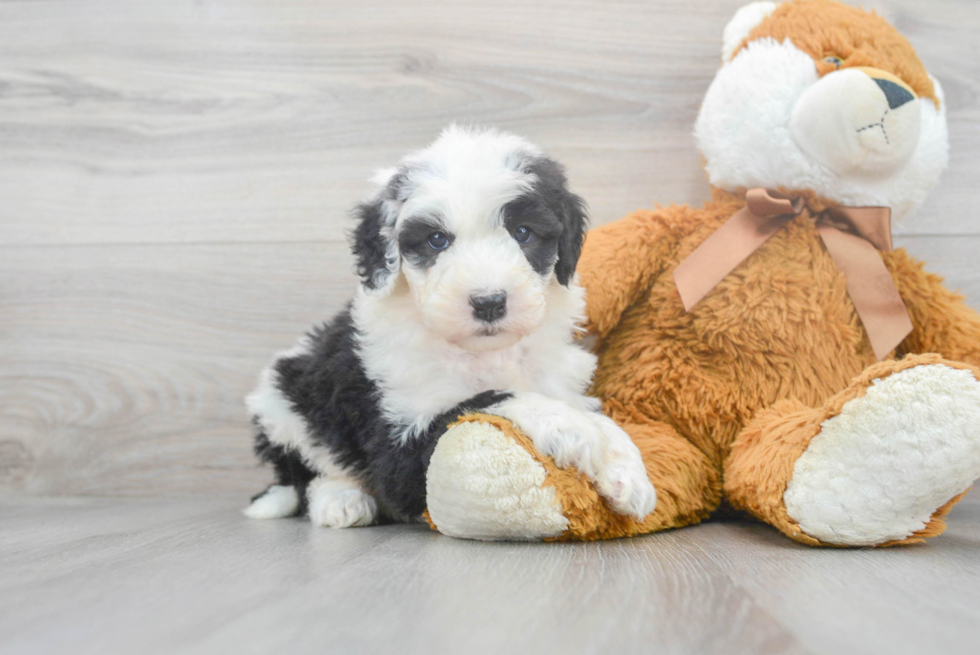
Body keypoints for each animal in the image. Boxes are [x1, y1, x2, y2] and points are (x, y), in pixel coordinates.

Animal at [244, 125, 656, 532]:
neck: (483, 351)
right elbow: (487, 398)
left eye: (523, 232)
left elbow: (601, 418)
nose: (489, 302)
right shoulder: (399, 442)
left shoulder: (556, 378)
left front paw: (629, 474)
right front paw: (570, 426)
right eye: (436, 240)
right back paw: (341, 501)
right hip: (286, 400)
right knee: (307, 475)